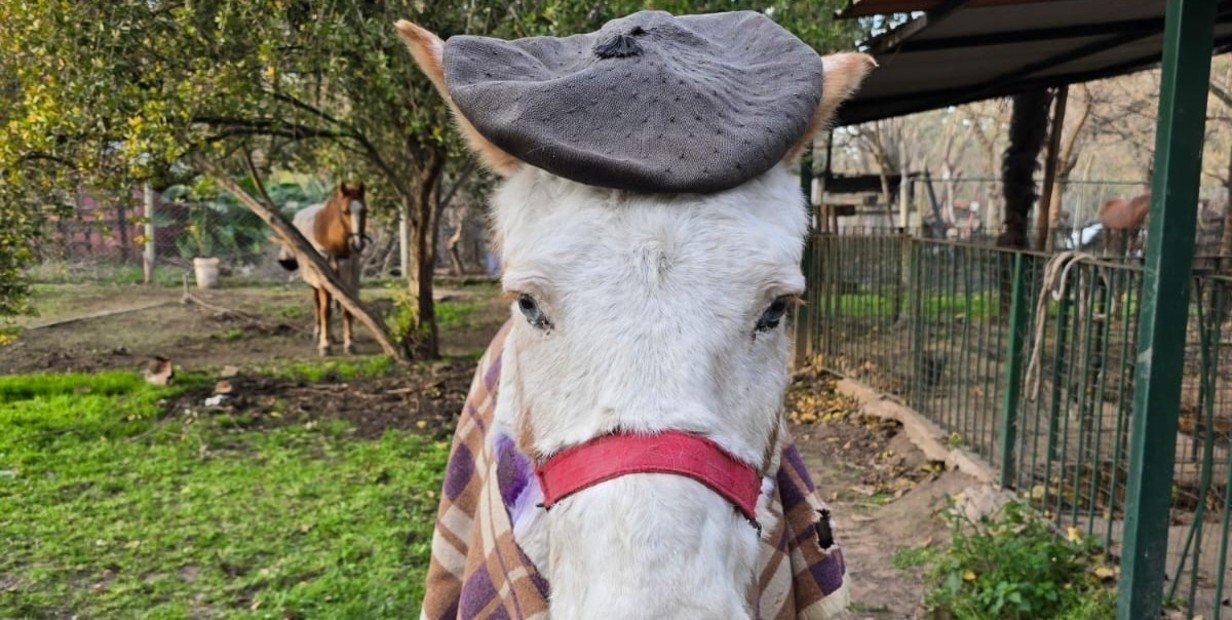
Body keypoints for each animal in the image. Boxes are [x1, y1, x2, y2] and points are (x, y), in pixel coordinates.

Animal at [276, 182, 369, 356]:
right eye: (345, 211)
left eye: (365, 211)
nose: (357, 244)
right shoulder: (323, 281)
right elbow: (325, 311)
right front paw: (325, 345)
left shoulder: (349, 280)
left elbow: (348, 310)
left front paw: (349, 343)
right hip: (314, 282)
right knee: (318, 305)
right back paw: (320, 332)